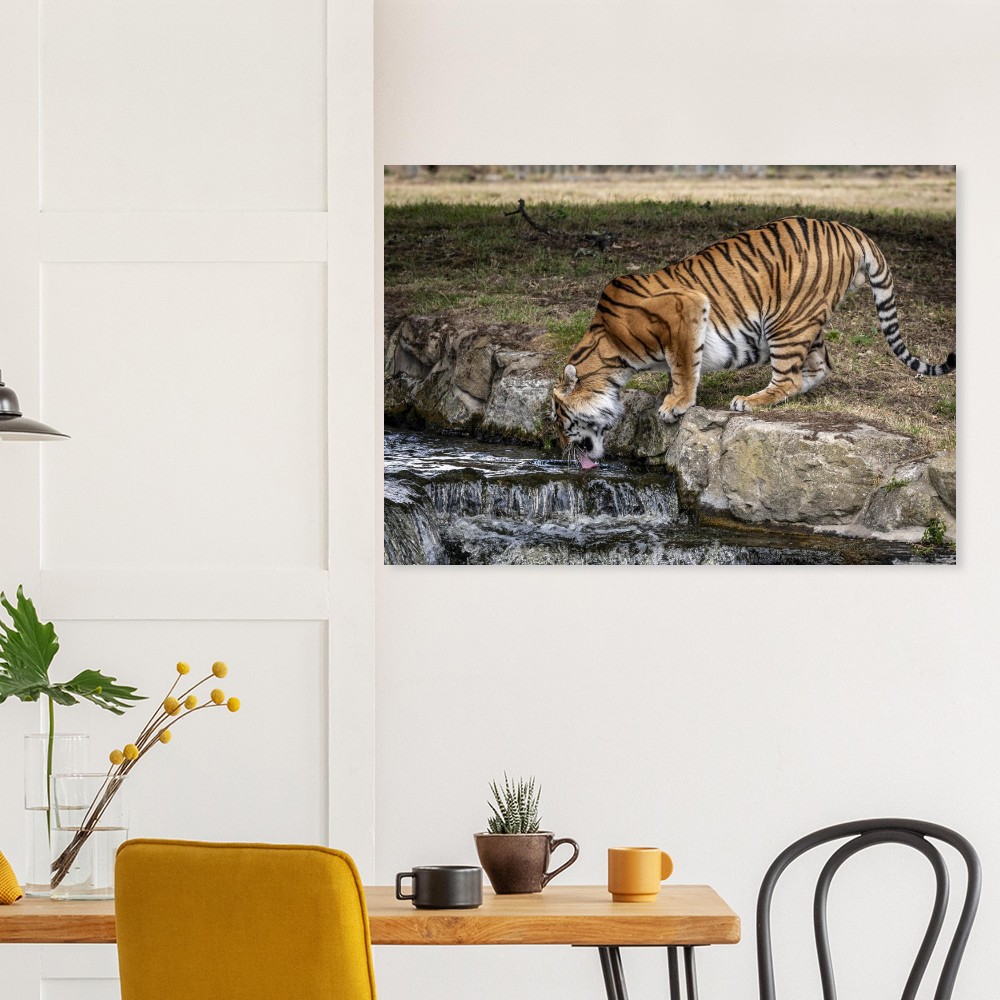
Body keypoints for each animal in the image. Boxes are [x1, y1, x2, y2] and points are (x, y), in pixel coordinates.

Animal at [551, 217, 955, 467]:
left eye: (559, 420)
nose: (560, 451)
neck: (610, 353)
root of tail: (850, 229)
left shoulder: (686, 309)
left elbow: (684, 366)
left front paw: (675, 405)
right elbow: (679, 368)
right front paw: (669, 396)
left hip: (785, 320)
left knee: (789, 377)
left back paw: (750, 400)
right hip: (806, 322)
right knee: (819, 367)